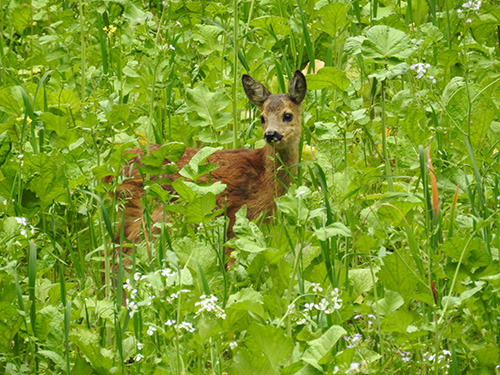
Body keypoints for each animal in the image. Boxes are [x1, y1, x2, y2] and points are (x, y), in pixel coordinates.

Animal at [107, 70, 306, 264]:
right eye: (262, 118)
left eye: (287, 115)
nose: (271, 134)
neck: (264, 176)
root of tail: (112, 174)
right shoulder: (239, 213)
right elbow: (230, 256)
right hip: (156, 211)